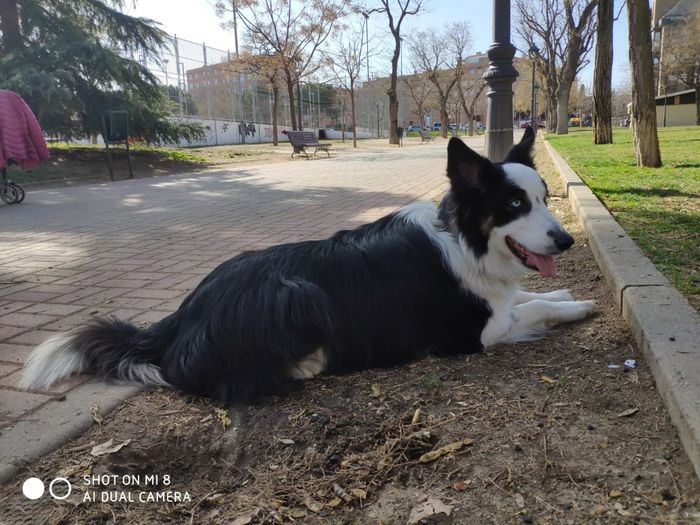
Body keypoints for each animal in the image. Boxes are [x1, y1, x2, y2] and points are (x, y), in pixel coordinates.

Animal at [20, 129, 596, 404]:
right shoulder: (470, 333)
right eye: (514, 205)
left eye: (544, 199)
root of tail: (183, 316)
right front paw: (579, 305)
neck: (464, 239)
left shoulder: (496, 296)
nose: (567, 240)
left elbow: (528, 297)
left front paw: (562, 294)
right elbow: (529, 310)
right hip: (298, 291)